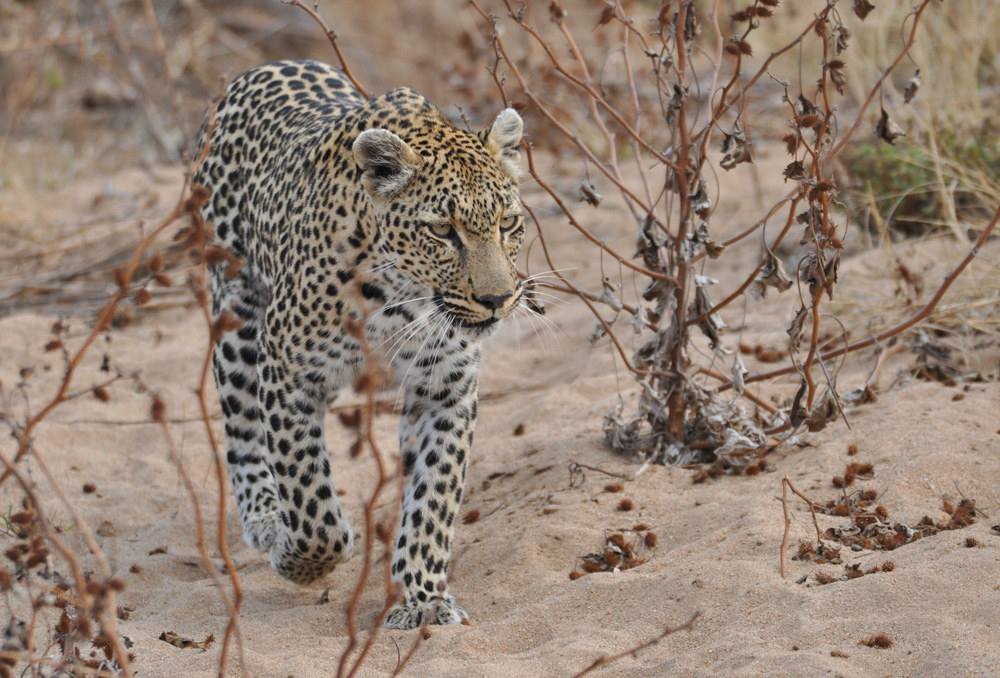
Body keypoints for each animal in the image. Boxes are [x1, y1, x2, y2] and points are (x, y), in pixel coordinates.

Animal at [191, 61, 528, 628]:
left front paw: (422, 599)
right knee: (242, 430)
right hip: (237, 317)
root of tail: (256, 70)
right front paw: (296, 558)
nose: (497, 299)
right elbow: (310, 501)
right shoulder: (287, 372)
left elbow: (433, 499)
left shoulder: (446, 389)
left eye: (509, 223)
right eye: (443, 231)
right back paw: (264, 516)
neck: (402, 298)